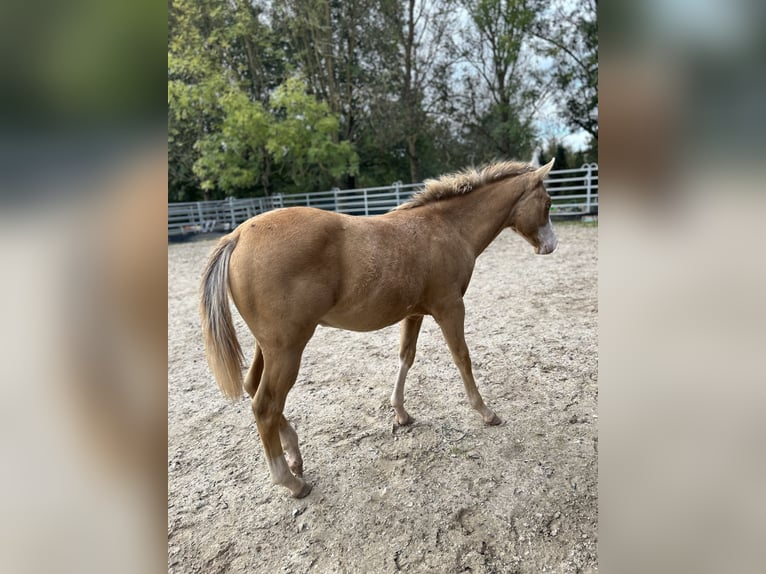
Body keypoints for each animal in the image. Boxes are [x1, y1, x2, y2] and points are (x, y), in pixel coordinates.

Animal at [198, 159, 560, 500]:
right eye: (548, 202)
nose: (551, 246)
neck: (447, 227)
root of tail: (238, 236)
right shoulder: (450, 308)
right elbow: (462, 358)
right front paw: (485, 412)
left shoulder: (415, 313)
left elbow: (406, 357)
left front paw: (401, 413)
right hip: (288, 348)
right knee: (265, 406)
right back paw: (291, 481)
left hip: (269, 346)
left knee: (253, 387)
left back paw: (294, 454)